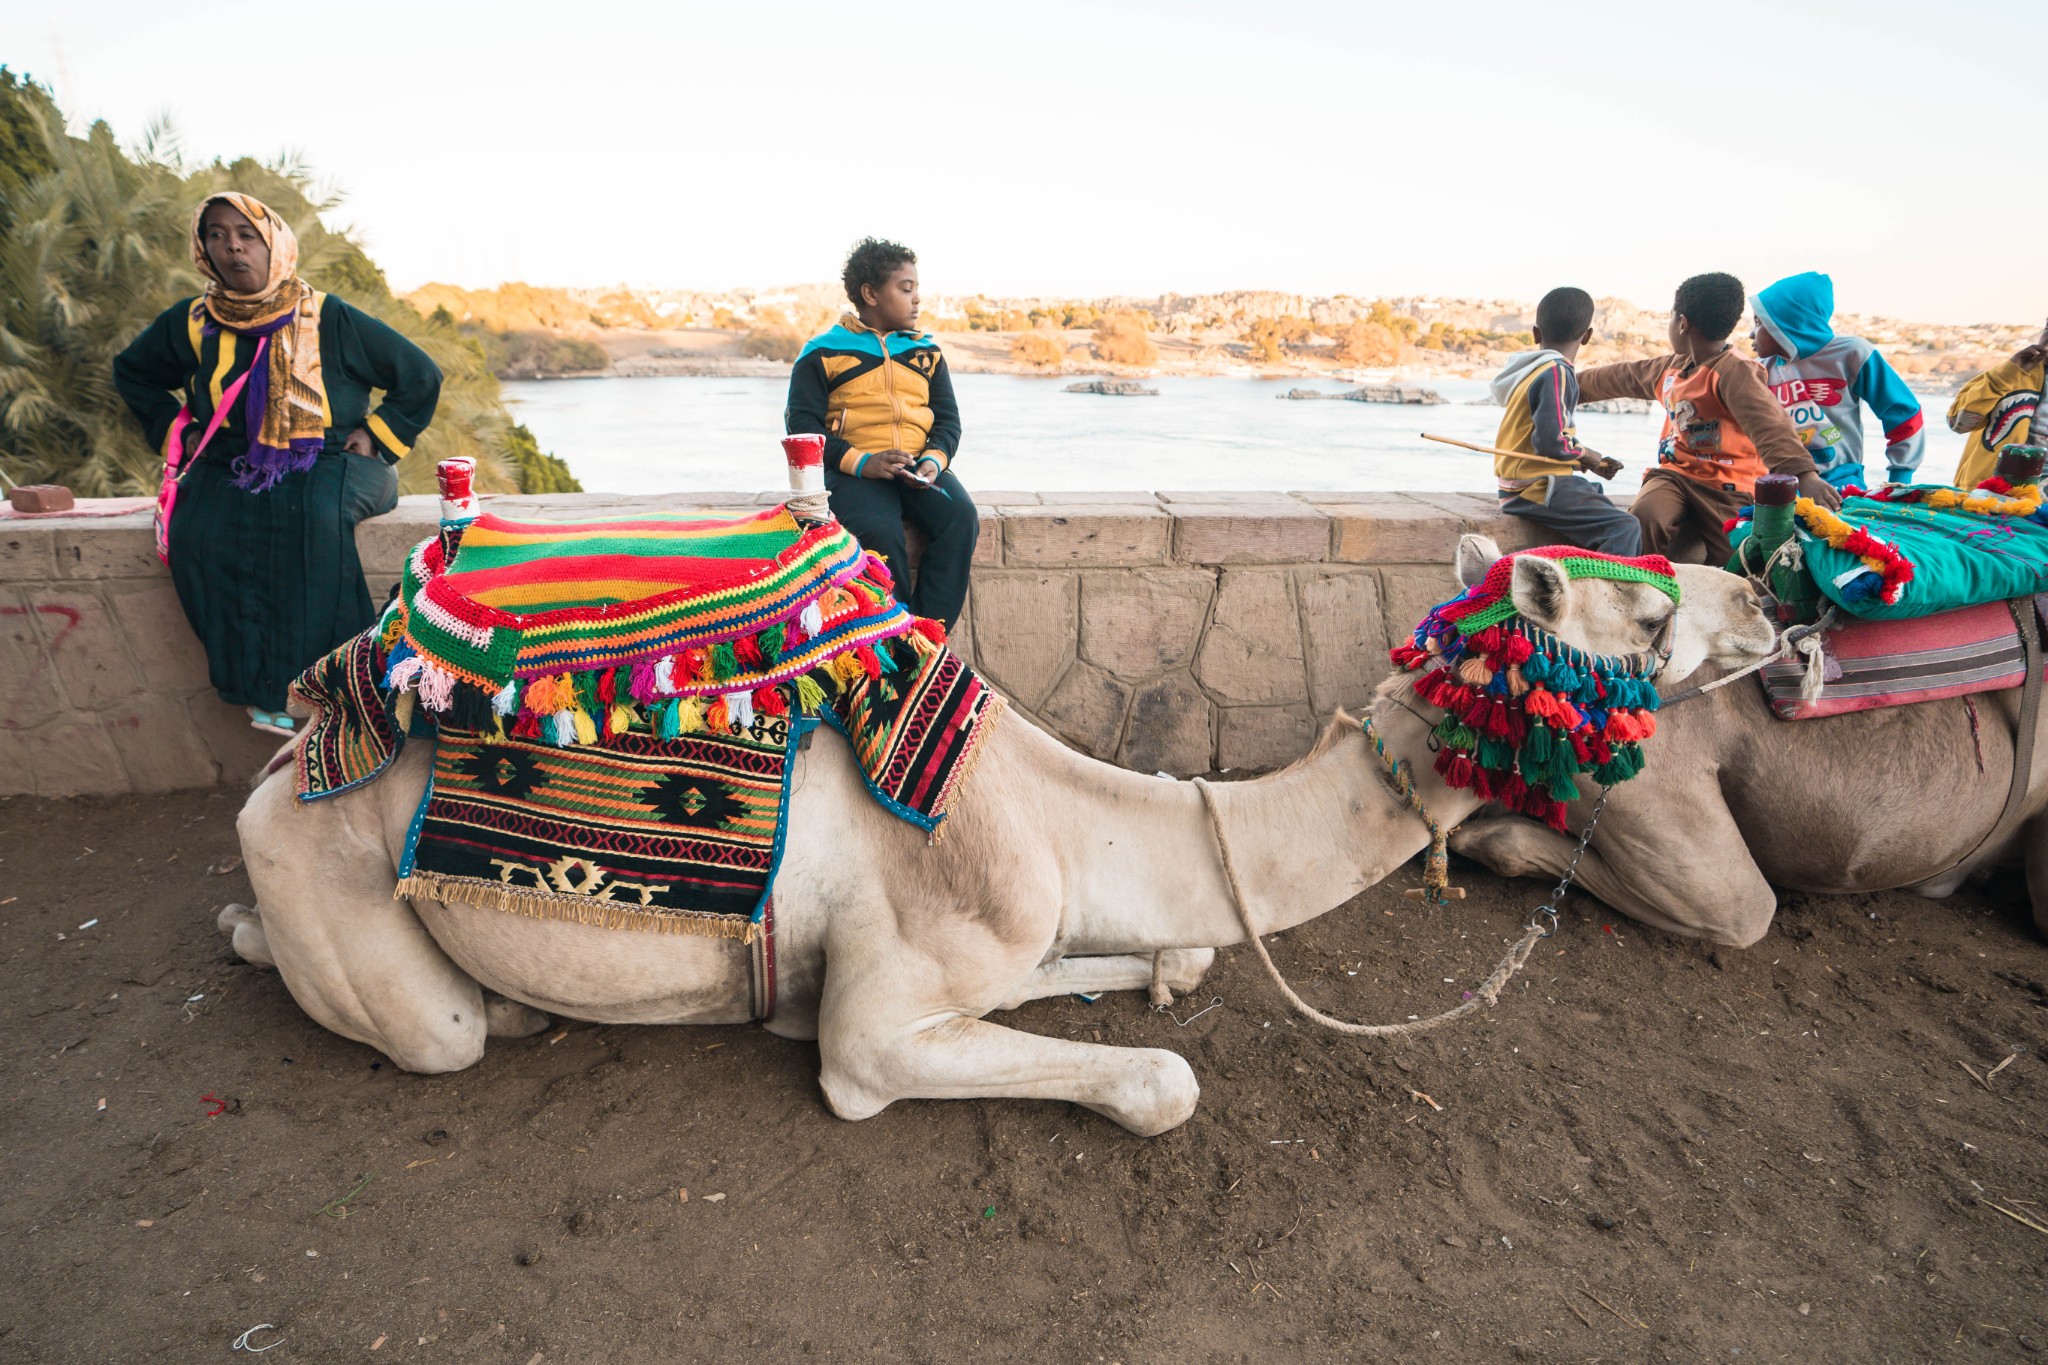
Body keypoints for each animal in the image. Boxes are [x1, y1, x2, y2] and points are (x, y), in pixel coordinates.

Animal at [224, 540, 1777, 1137]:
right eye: (1642, 609)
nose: (1766, 597)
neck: (1055, 812)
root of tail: (298, 743)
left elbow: (1158, 967)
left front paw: (1156, 967)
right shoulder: (878, 1031)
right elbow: (1155, 1079)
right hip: (338, 885)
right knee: (434, 1026)